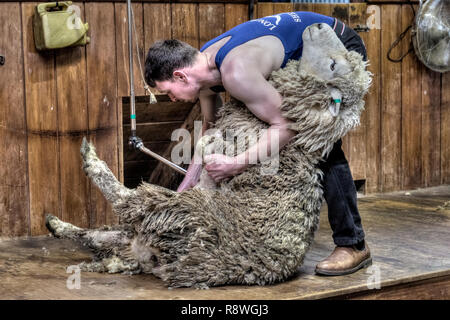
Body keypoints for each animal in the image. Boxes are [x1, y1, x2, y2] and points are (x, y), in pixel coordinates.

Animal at [45, 23, 370, 288]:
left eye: (333, 64)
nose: (319, 25)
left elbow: (208, 145)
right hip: (155, 226)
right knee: (108, 233)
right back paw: (58, 225)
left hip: (179, 214)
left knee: (128, 201)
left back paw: (90, 162)